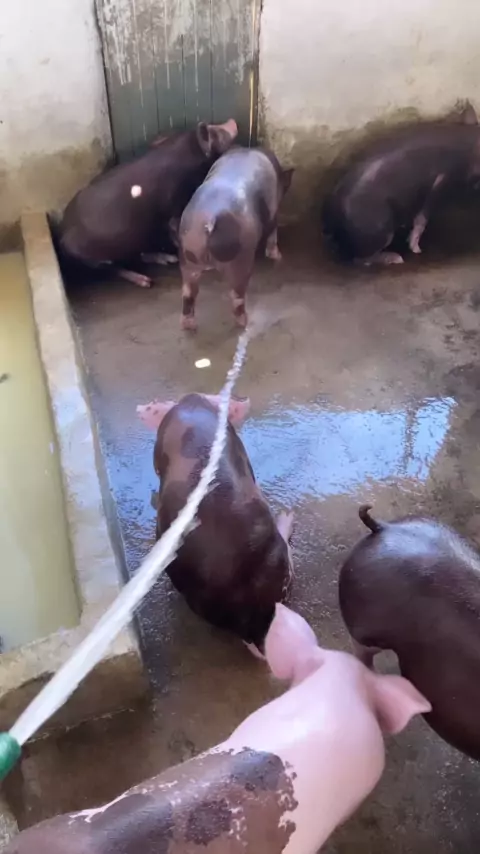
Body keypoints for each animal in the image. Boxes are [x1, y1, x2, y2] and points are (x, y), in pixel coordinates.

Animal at [58, 120, 238, 288]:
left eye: (214, 128)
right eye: (216, 133)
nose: (231, 122)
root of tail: (62, 234)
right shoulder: (175, 205)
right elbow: (177, 229)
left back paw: (167, 259)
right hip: (93, 257)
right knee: (114, 268)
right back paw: (145, 281)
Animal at [177, 146, 294, 330]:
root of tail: (210, 220)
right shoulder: (273, 212)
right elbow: (273, 234)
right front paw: (277, 256)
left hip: (188, 254)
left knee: (188, 293)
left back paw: (188, 325)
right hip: (240, 260)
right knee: (237, 295)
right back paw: (244, 323)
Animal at [322, 100, 480, 265]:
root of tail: (331, 222)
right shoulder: (443, 178)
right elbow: (423, 214)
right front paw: (416, 249)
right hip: (377, 227)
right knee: (361, 259)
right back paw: (396, 258)